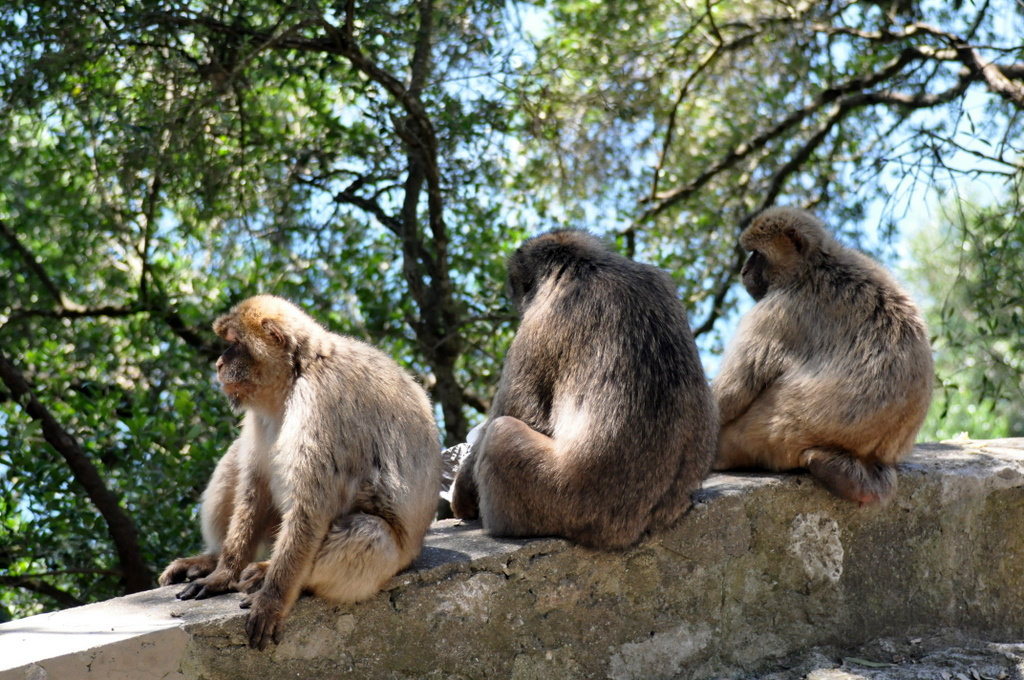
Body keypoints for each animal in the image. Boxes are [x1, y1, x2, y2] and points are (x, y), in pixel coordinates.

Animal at [158, 296, 440, 647]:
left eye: (234, 344)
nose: (219, 363)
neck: (296, 375)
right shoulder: (259, 414)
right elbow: (256, 484)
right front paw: (223, 573)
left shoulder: (322, 403)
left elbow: (311, 506)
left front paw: (272, 599)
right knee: (236, 457)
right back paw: (212, 559)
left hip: (394, 560)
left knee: (369, 533)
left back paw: (271, 573)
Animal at [452, 228, 716, 548]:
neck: (585, 267)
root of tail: (630, 528)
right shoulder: (659, 280)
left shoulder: (539, 320)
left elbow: (522, 413)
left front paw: (462, 495)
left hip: (562, 500)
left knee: (501, 433)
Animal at [712, 204, 937, 501]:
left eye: (757, 254)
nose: (744, 270)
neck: (813, 266)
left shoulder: (777, 311)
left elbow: (731, 393)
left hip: (764, 435)